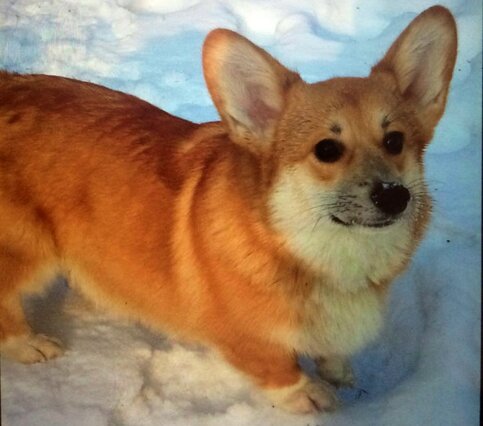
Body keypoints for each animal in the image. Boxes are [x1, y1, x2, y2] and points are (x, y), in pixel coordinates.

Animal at [0, 6, 457, 413]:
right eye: (327, 150)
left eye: (395, 141)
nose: (394, 196)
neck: (314, 250)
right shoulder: (245, 337)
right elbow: (275, 365)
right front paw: (307, 395)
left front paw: (338, 372)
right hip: (26, 249)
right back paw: (30, 343)